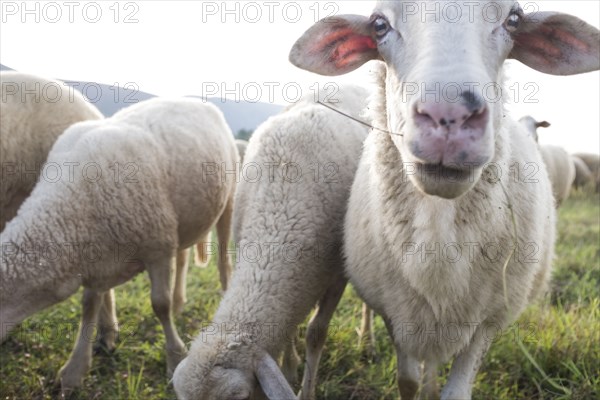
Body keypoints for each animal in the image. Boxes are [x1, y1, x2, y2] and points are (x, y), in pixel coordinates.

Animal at [0, 97, 239, 394]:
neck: (71, 206)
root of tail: (196, 100)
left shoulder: (158, 247)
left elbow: (159, 305)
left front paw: (175, 357)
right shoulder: (96, 259)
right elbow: (89, 306)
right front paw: (75, 370)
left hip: (228, 199)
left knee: (223, 259)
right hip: (184, 219)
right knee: (183, 258)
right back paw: (179, 302)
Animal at [173, 85, 370, 400]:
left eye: (238, 398)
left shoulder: (337, 275)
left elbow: (316, 333)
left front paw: (307, 391)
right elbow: (288, 330)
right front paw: (289, 367)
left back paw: (367, 338)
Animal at [288, 2, 596, 396]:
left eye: (513, 20)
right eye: (379, 25)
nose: (450, 115)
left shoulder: (488, 320)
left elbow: (455, 391)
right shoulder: (397, 313)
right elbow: (407, 381)